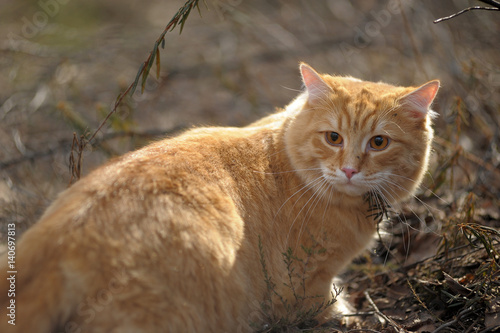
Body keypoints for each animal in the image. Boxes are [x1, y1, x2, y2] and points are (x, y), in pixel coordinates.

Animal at [0, 63, 438, 330]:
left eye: (378, 143)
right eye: (333, 138)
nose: (349, 170)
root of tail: (59, 237)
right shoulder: (307, 279)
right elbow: (323, 301)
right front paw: (345, 313)